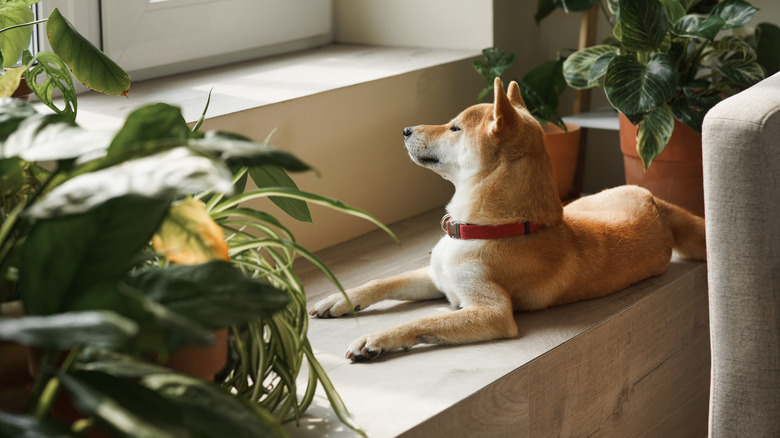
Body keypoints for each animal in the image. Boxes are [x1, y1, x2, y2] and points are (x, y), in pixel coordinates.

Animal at [310, 77, 708, 362]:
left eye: (454, 128)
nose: (406, 130)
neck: (492, 228)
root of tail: (655, 201)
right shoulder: (438, 278)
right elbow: (382, 282)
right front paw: (340, 299)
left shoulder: (492, 312)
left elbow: (422, 320)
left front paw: (377, 338)